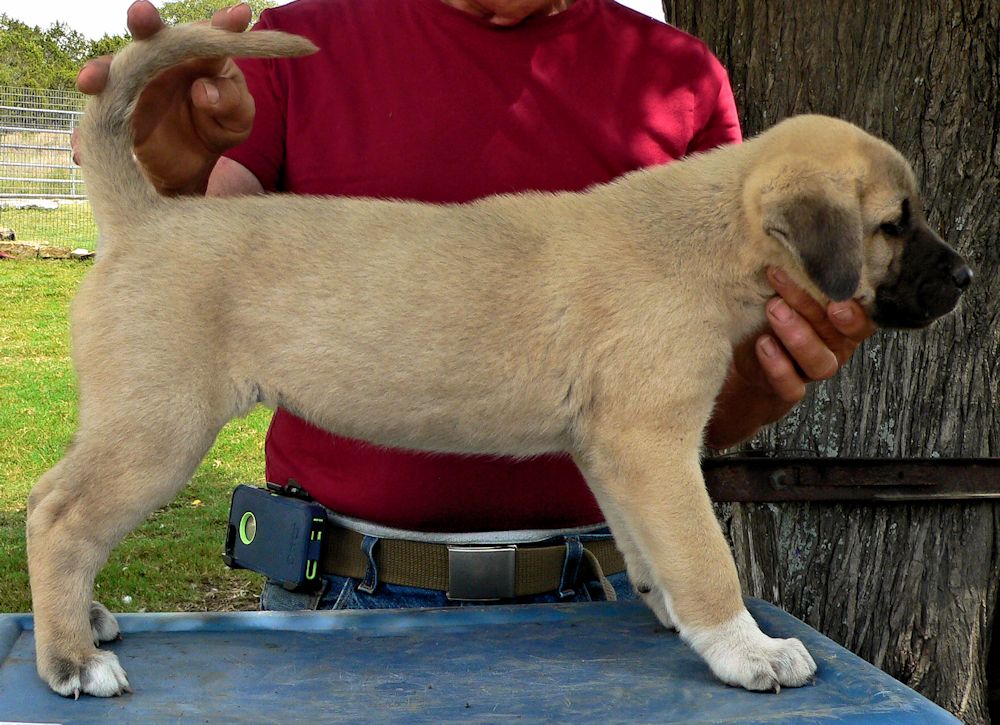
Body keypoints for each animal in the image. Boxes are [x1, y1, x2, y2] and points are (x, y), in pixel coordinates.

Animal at [27, 25, 972, 700]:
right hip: (158, 425)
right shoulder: (653, 441)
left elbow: (652, 547)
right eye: (894, 224)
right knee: (58, 517)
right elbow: (706, 554)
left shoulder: (616, 452)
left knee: (54, 505)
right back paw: (72, 659)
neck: (713, 233)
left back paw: (83, 623)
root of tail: (143, 216)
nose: (964, 278)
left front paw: (677, 615)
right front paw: (749, 648)